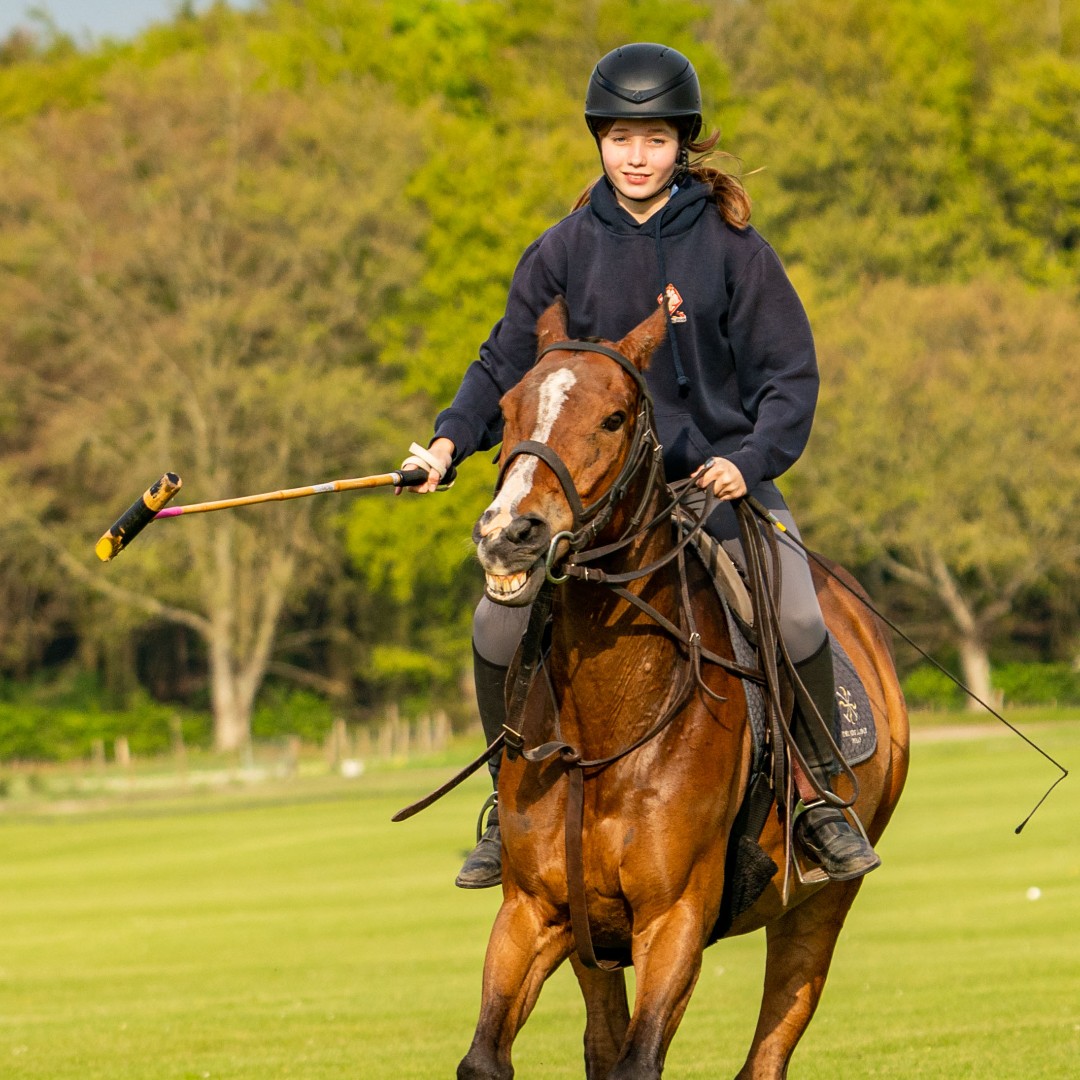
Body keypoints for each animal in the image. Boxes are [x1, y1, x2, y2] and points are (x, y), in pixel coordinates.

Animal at [460, 297, 909, 1080]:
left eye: (613, 418)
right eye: (509, 409)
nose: (509, 536)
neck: (605, 726)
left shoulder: (675, 918)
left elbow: (641, 1059)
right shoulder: (535, 911)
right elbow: (489, 1057)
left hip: (821, 906)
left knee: (770, 1046)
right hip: (591, 940)